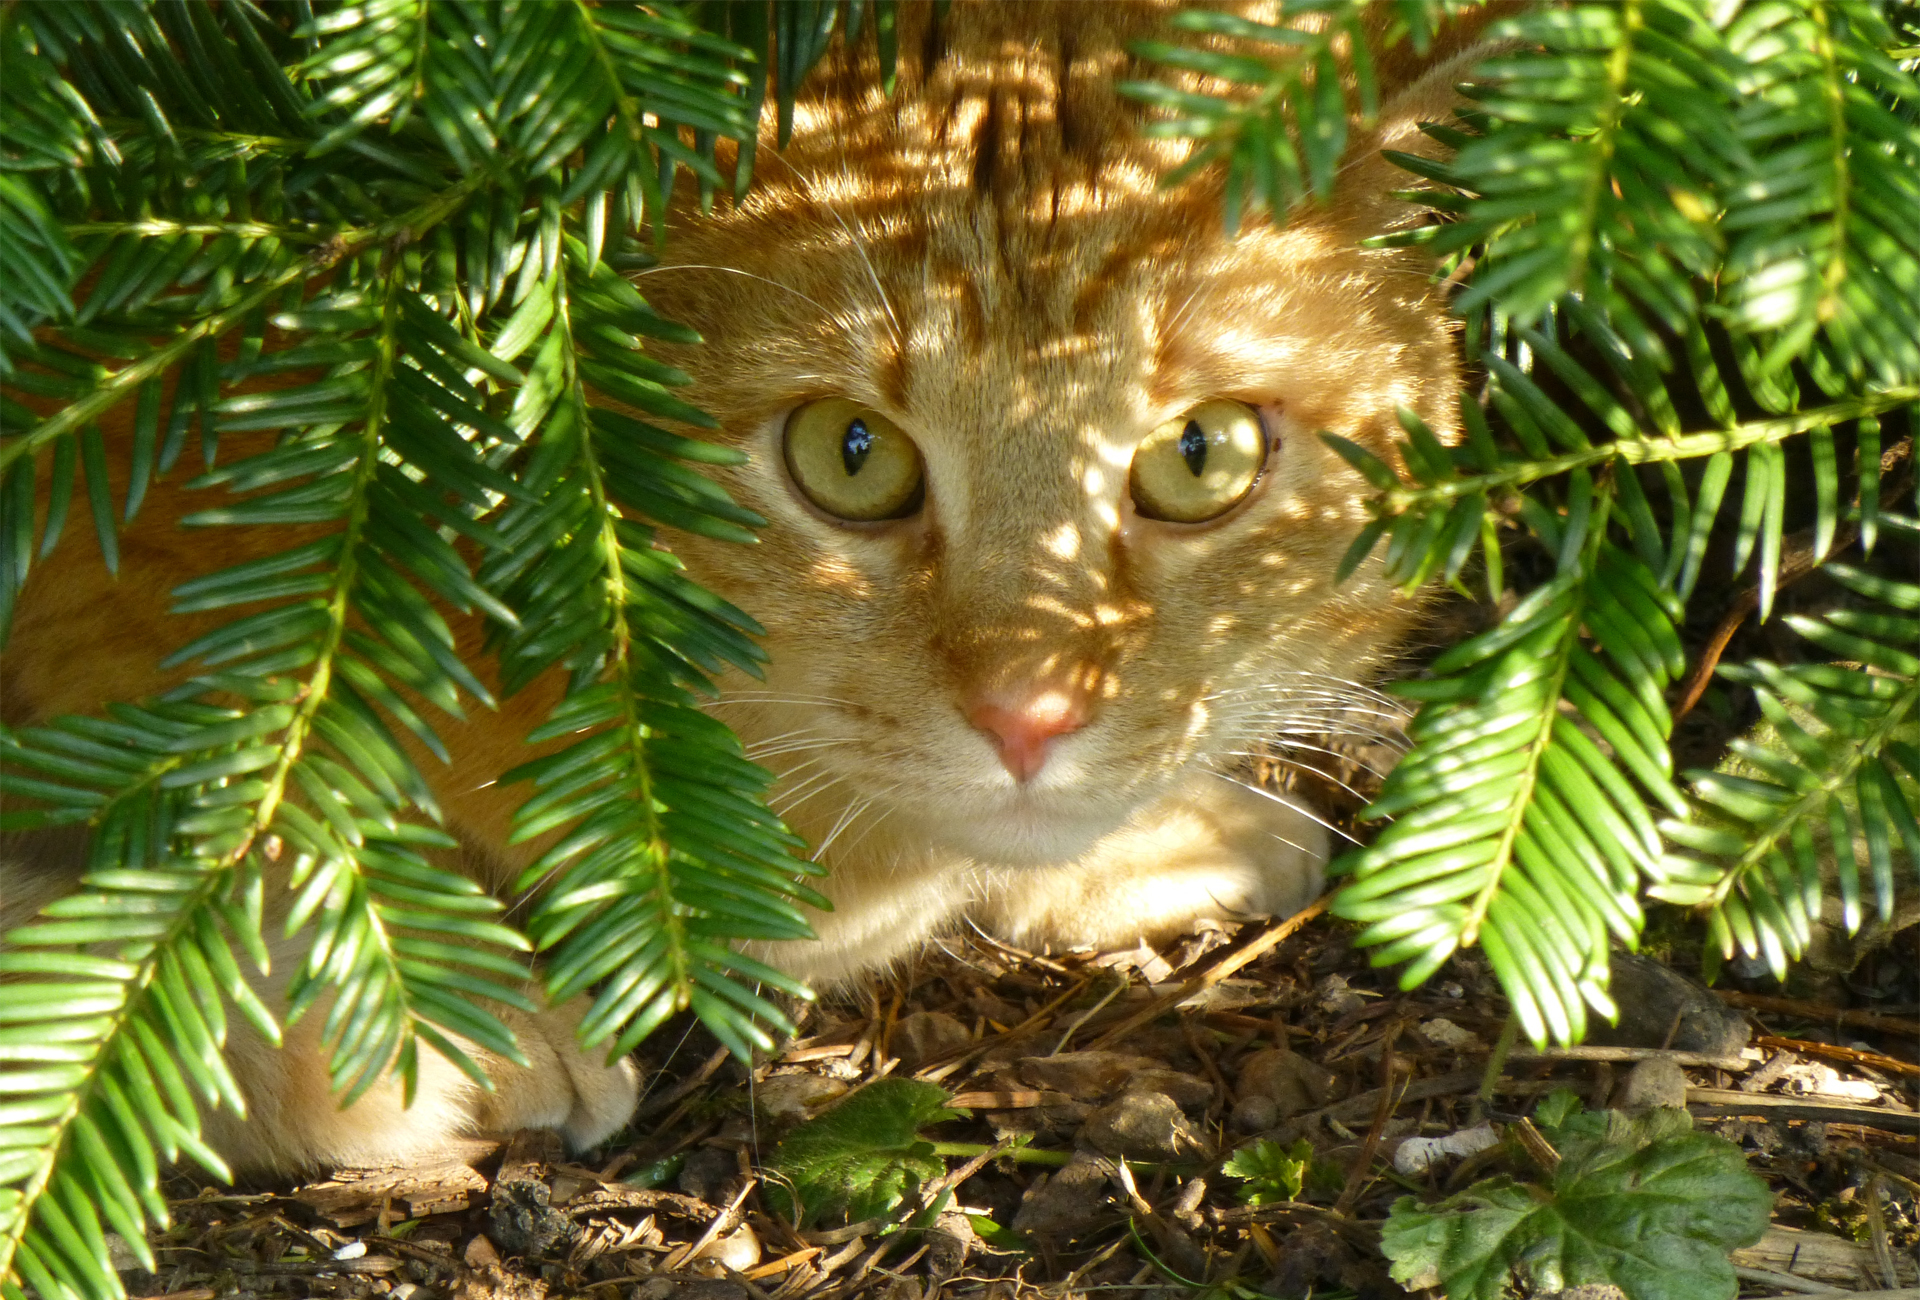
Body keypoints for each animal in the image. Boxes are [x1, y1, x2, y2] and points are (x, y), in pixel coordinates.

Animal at [0, 0, 1474, 1167]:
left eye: (1200, 453)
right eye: (849, 455)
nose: (1030, 714)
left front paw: (1173, 830)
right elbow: (195, 896)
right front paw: (417, 1018)